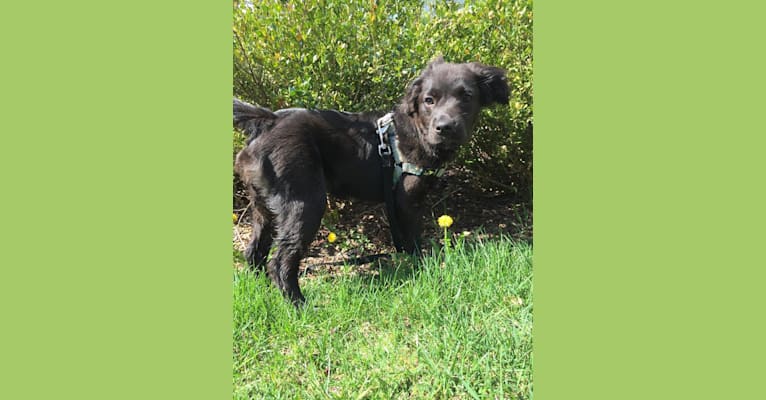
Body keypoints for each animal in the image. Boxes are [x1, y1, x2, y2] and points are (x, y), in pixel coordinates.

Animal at [234, 57, 510, 304]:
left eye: (467, 97)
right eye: (429, 100)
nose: (444, 127)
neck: (416, 130)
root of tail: (269, 120)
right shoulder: (406, 200)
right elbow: (413, 240)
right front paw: (424, 268)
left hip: (263, 207)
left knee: (254, 252)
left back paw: (263, 291)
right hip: (305, 201)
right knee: (280, 261)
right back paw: (299, 305)